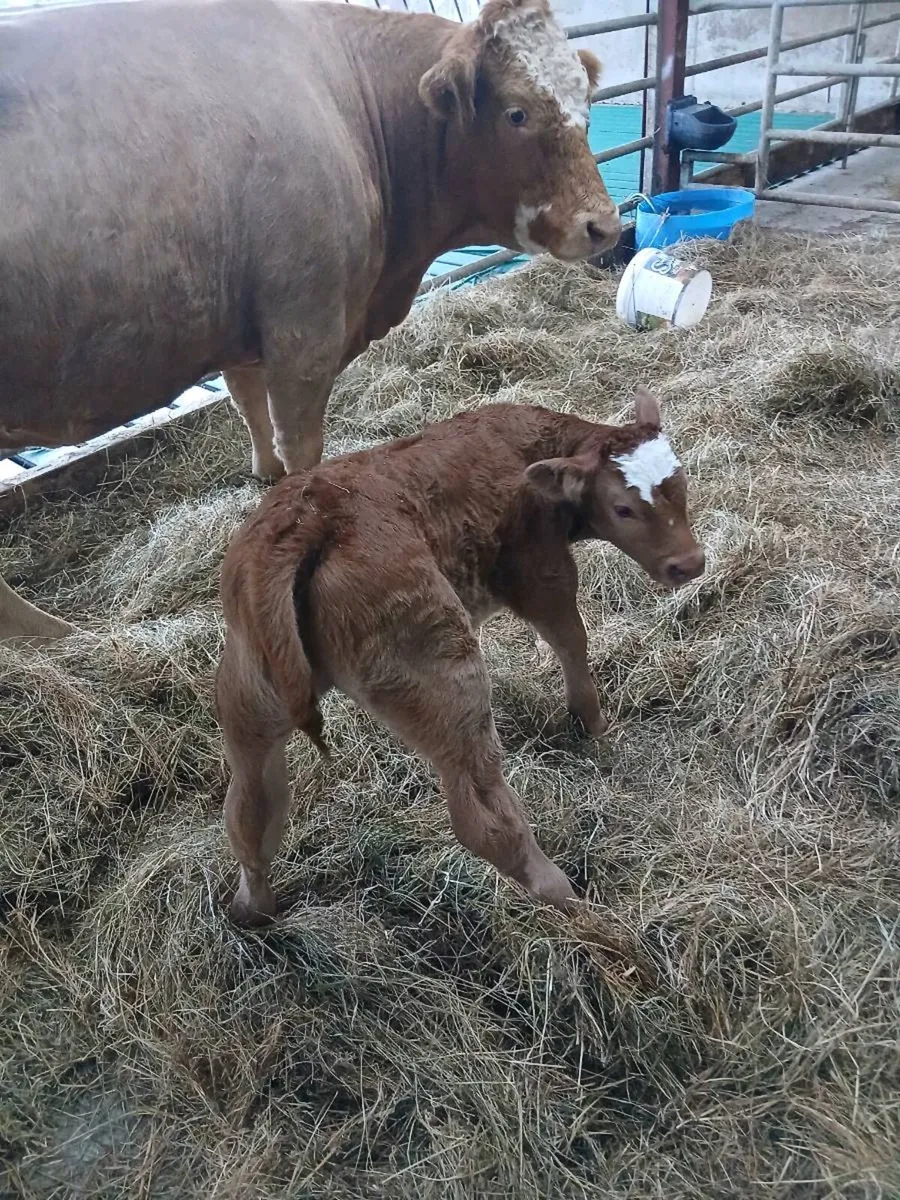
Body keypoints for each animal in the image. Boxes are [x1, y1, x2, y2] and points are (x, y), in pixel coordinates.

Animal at [0, 0, 621, 642]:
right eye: (516, 112)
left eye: (587, 101)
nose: (604, 226)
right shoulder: (306, 329)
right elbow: (300, 446)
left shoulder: (248, 336)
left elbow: (252, 415)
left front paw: (264, 487)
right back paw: (52, 632)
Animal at [215, 389, 705, 924]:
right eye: (623, 508)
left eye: (681, 485)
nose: (690, 564)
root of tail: (305, 524)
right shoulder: (540, 569)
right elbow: (570, 639)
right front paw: (592, 722)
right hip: (442, 675)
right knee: (479, 816)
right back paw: (569, 901)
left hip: (250, 689)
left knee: (250, 807)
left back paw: (252, 909)